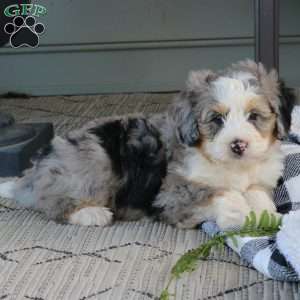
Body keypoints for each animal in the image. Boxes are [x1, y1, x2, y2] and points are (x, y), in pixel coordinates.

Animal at [0, 60, 296, 230]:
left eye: (254, 116)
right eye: (216, 119)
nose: (238, 145)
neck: (235, 167)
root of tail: (37, 170)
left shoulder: (259, 180)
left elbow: (257, 193)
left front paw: (267, 215)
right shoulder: (173, 193)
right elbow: (220, 193)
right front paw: (240, 213)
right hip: (95, 158)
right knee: (52, 203)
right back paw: (92, 214)